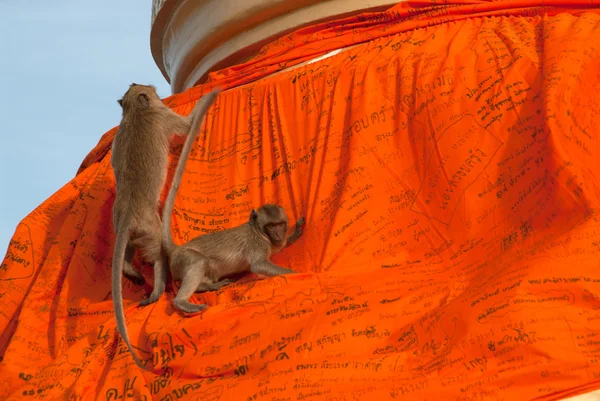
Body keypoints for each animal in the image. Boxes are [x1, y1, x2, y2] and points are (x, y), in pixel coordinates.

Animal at [110, 83, 220, 368]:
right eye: (149, 90)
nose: (154, 90)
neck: (135, 112)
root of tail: (128, 214)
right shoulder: (163, 116)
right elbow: (188, 125)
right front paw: (206, 96)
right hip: (151, 228)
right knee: (159, 254)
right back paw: (159, 289)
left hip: (128, 229)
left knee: (129, 252)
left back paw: (132, 272)